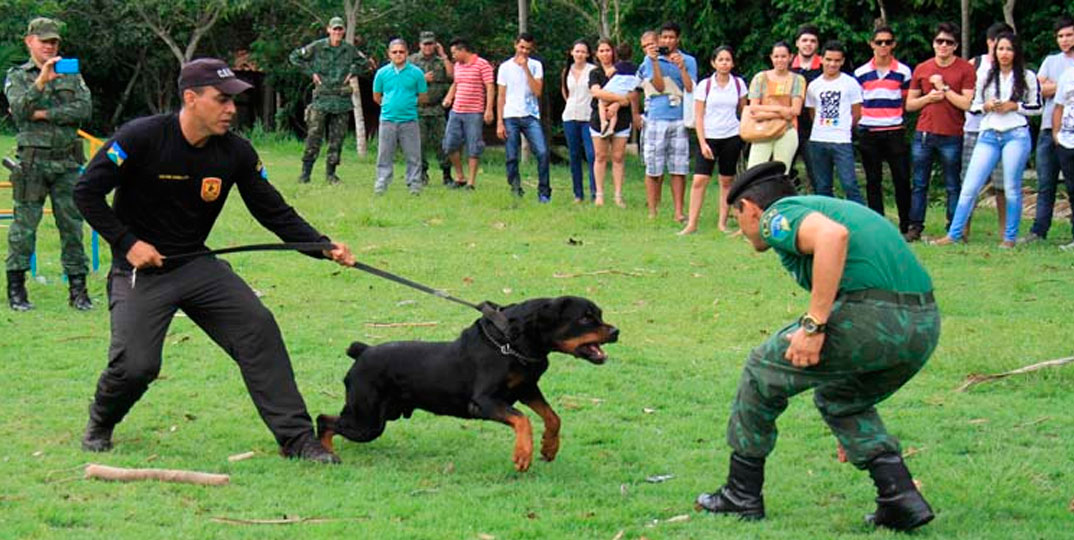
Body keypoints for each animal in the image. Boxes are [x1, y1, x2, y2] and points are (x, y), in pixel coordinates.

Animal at [313, 298, 618, 472]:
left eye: (599, 314)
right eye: (585, 317)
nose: (616, 331)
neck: (510, 342)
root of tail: (362, 351)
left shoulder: (526, 388)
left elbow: (553, 417)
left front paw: (549, 448)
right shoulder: (483, 402)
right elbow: (523, 420)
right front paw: (523, 455)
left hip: (377, 417)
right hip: (366, 421)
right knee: (324, 419)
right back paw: (326, 453)